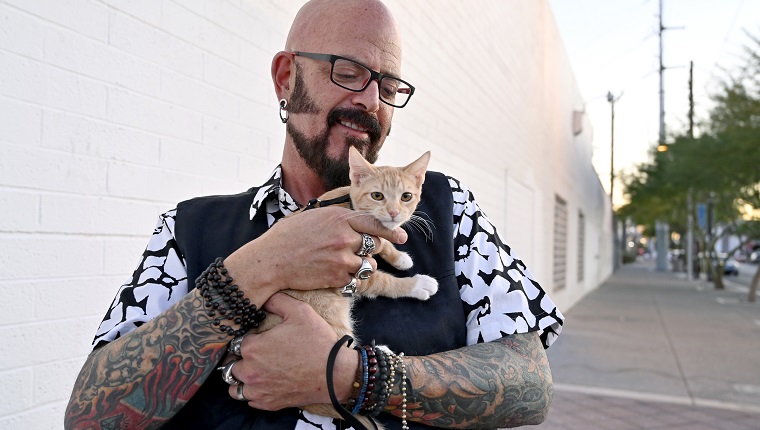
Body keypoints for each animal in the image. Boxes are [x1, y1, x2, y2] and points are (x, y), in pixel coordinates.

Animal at [252, 147, 436, 426]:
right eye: (377, 195)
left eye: (406, 197)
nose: (394, 213)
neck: (347, 204)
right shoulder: (353, 274)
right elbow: (383, 281)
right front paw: (416, 283)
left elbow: (383, 242)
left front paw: (399, 257)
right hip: (329, 312)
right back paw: (380, 353)